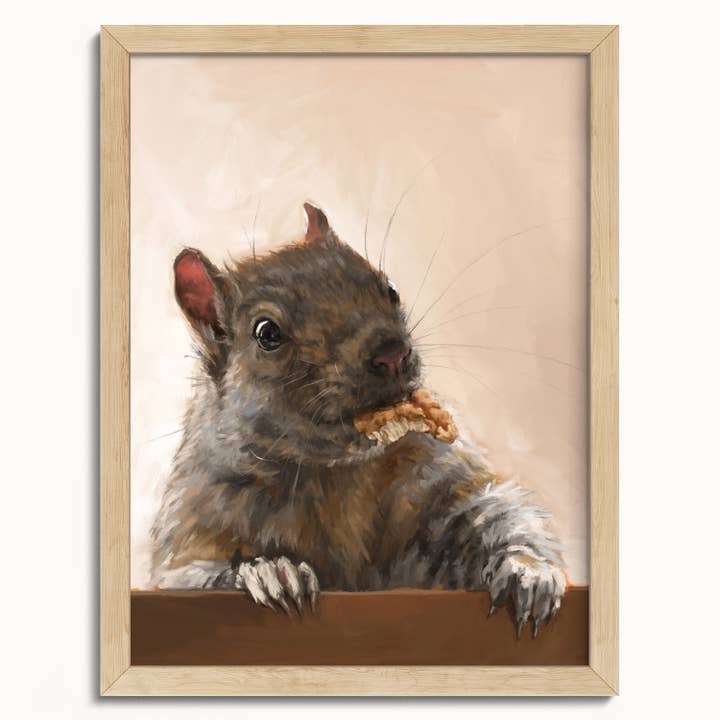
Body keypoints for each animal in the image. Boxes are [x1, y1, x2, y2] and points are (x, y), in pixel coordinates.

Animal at [151, 202, 566, 638]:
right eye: (267, 333)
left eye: (391, 289)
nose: (392, 353)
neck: (334, 472)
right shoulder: (195, 524)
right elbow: (187, 574)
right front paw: (269, 571)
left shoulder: (434, 474)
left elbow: (491, 509)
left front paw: (528, 571)